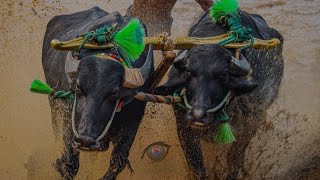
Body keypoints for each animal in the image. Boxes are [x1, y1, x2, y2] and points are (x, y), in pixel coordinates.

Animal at [43, 6, 153, 179]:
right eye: (78, 87)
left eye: (115, 92)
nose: (85, 140)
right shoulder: (68, 118)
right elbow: (70, 163)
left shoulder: (133, 118)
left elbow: (118, 161)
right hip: (53, 103)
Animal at [156, 11, 284, 179]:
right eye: (188, 72)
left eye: (223, 75)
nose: (197, 115)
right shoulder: (184, 127)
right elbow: (197, 167)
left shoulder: (251, 123)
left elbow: (234, 159)